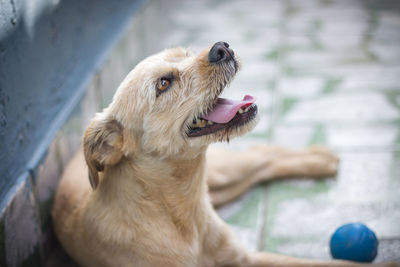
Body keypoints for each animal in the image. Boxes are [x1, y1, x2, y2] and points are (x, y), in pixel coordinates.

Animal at [51, 42, 398, 267]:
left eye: (184, 54)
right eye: (163, 83)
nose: (222, 47)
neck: (180, 214)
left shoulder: (248, 258)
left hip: (226, 176)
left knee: (263, 154)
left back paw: (319, 159)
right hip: (227, 184)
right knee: (263, 161)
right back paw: (322, 160)